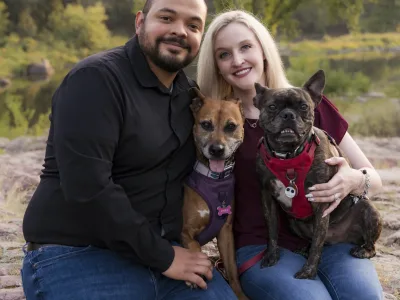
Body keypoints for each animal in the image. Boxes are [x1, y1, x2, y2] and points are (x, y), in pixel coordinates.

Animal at [181, 88, 247, 298]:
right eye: (206, 124)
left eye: (231, 126)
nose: (216, 149)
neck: (214, 181)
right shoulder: (185, 230)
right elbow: (195, 247)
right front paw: (195, 270)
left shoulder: (226, 233)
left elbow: (233, 271)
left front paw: (240, 294)